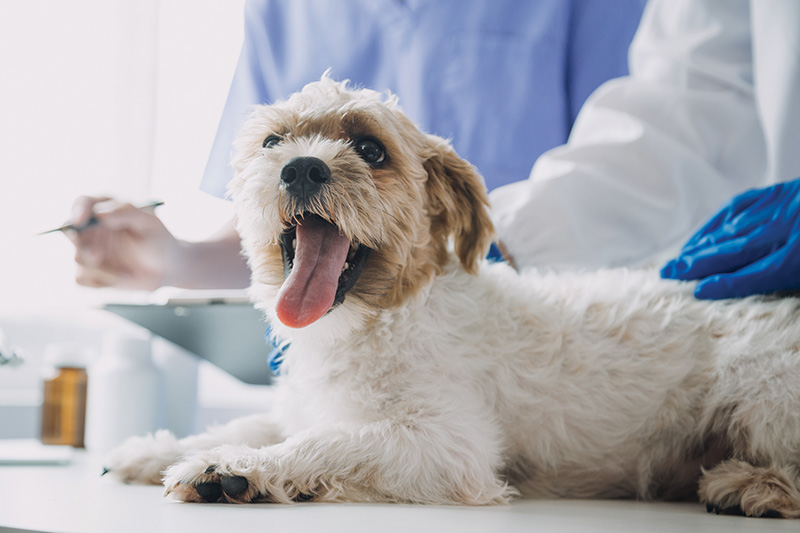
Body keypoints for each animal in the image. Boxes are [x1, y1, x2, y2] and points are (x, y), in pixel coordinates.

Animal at [104, 75, 800, 516]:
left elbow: (323, 442)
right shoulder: (305, 404)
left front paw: (236, 468)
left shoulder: (446, 447)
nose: (301, 167)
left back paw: (754, 485)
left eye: (370, 149)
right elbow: (252, 421)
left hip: (759, 389)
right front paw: (158, 449)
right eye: (273, 142)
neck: (375, 319)